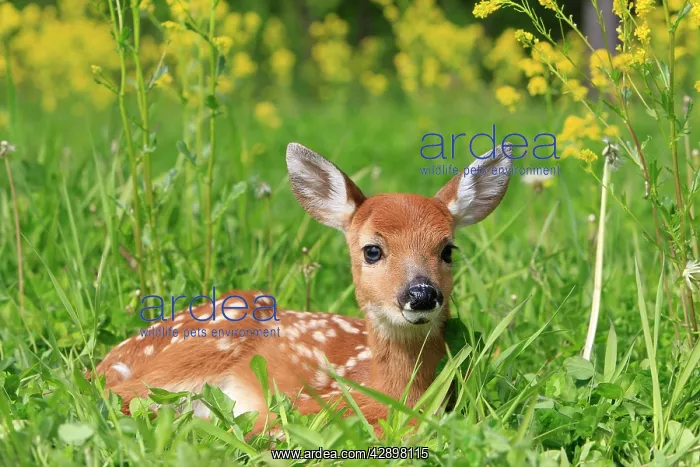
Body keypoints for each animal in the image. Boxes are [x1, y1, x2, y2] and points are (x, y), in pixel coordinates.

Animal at [95, 142, 513, 436]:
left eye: (448, 249)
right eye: (372, 250)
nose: (421, 295)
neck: (390, 390)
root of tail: (108, 358)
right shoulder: (305, 403)